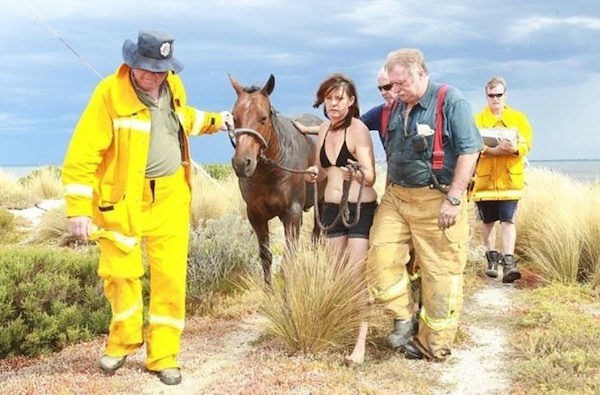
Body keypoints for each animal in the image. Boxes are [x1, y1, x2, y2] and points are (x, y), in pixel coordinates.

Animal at [229, 73, 324, 284]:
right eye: (234, 117)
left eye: (263, 118)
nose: (242, 164)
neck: (270, 173)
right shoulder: (256, 216)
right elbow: (266, 256)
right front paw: (268, 290)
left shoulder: (291, 213)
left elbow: (288, 259)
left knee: (316, 237)